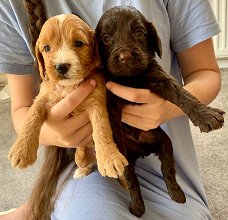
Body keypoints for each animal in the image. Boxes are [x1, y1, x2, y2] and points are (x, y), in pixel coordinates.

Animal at [7, 12, 128, 179]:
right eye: (46, 48)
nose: (61, 66)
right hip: (80, 157)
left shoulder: (96, 102)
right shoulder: (43, 97)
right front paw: (21, 150)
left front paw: (109, 158)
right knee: (85, 162)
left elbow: (101, 127)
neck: (68, 87)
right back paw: (82, 170)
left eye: (78, 43)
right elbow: (32, 116)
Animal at [95, 6, 225, 217]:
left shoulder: (159, 78)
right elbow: (114, 133)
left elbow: (182, 94)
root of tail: (141, 151)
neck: (130, 78)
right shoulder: (110, 100)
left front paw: (204, 114)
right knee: (131, 176)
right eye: (106, 38)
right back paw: (137, 204)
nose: (125, 57)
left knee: (168, 169)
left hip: (163, 141)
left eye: (139, 33)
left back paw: (176, 193)